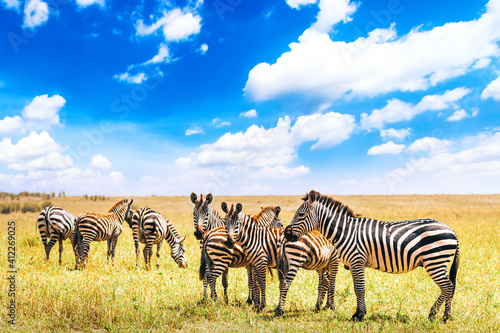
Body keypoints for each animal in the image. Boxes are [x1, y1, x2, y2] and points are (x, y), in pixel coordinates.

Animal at [284, 191, 458, 320]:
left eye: (301, 214)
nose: (286, 234)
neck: (346, 231)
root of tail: (452, 231)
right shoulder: (355, 263)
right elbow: (358, 288)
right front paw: (359, 313)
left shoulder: (357, 261)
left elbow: (360, 289)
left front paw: (359, 315)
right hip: (438, 262)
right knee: (450, 287)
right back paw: (446, 316)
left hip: (434, 261)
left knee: (447, 286)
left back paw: (432, 314)